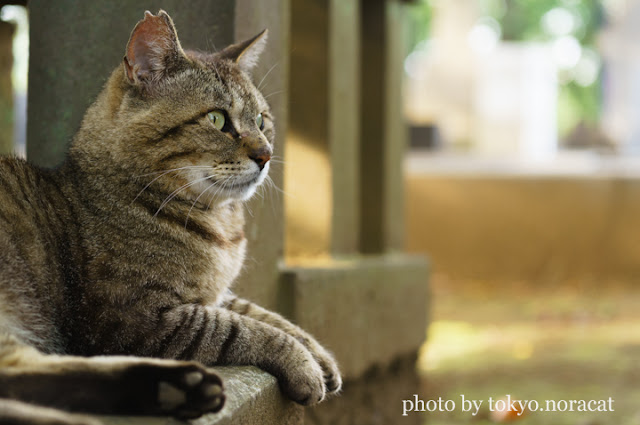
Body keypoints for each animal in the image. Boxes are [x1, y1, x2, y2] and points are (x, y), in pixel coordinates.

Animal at [0, 9, 340, 424]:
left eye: (261, 120)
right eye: (217, 119)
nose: (267, 154)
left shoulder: (213, 295)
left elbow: (261, 312)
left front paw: (319, 353)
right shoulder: (137, 318)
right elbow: (240, 329)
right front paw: (302, 362)